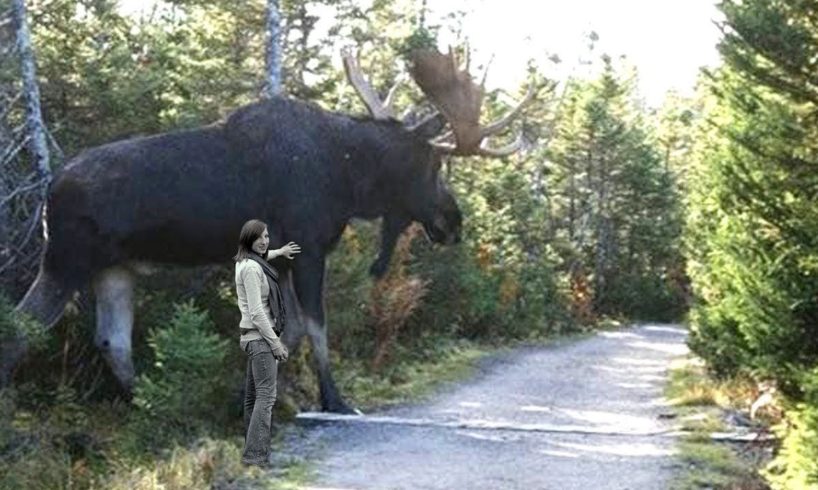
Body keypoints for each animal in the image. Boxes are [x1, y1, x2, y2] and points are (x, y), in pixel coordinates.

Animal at [0, 47, 532, 412]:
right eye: (433, 165)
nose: (453, 221)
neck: (350, 177)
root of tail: (48, 192)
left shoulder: (286, 255)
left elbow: (287, 329)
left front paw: (265, 399)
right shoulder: (309, 246)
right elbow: (315, 326)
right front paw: (334, 400)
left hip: (115, 268)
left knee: (113, 341)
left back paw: (154, 407)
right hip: (67, 260)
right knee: (21, 330)